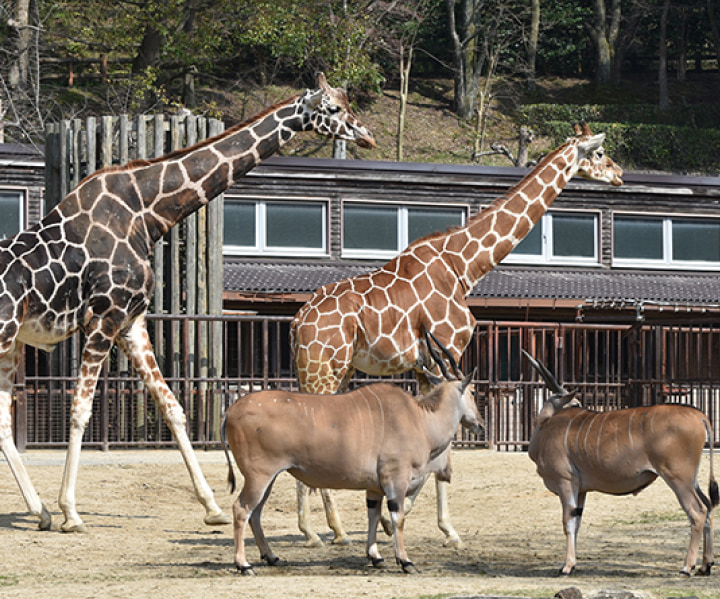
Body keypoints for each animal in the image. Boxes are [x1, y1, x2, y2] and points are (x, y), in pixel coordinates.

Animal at [0, 75, 374, 536]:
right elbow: (80, 409)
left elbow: (173, 407)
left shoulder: (131, 321)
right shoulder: (104, 316)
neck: (147, 212)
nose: (368, 136)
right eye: (334, 109)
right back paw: (51, 512)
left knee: (2, 423)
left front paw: (212, 506)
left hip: (12, 342)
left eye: (349, 103)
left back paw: (40, 512)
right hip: (5, 335)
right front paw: (72, 511)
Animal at [222, 330, 480, 576]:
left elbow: (373, 515)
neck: (420, 417)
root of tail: (231, 411)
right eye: (473, 391)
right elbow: (398, 518)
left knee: (255, 513)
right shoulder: (395, 480)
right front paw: (405, 561)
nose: (480, 423)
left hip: (269, 477)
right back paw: (243, 564)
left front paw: (376, 557)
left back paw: (271, 557)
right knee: (241, 509)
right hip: (259, 476)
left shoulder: (374, 488)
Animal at [290, 122, 620, 548]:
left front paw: (401, 518)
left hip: (331, 369)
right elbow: (447, 442)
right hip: (322, 368)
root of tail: (298, 322)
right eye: (598, 153)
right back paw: (328, 529)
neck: (464, 265)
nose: (619, 174)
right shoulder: (450, 346)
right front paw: (443, 528)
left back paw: (319, 528)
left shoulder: (423, 362)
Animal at [524, 352, 720, 576]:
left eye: (575, 403)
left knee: (698, 512)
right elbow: (577, 522)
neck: (546, 425)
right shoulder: (581, 490)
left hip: (678, 478)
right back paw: (706, 565)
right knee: (709, 506)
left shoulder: (566, 482)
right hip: (691, 479)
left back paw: (687, 567)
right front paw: (572, 564)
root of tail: (701, 416)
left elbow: (568, 522)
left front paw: (567, 566)